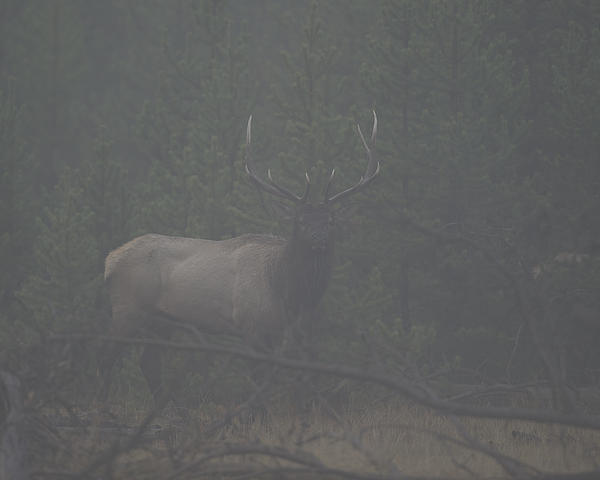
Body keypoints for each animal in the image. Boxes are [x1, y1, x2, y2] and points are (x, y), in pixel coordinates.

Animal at [100, 111, 378, 402]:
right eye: (300, 221)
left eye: (331, 221)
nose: (319, 239)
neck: (285, 289)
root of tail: (109, 261)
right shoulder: (251, 326)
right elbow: (257, 383)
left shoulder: (276, 333)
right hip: (128, 308)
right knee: (106, 356)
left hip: (162, 320)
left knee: (149, 362)